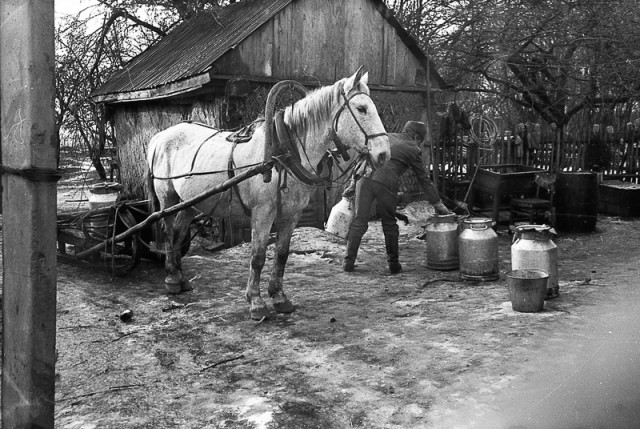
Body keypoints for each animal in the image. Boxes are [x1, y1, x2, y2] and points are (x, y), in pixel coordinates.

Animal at [147, 68, 388, 320]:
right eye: (361, 108)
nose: (384, 153)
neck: (283, 154)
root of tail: (160, 137)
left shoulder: (291, 214)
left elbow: (281, 254)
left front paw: (279, 297)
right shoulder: (263, 213)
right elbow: (258, 257)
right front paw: (256, 302)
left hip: (190, 203)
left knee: (178, 232)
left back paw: (181, 278)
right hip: (168, 199)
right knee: (168, 232)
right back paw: (171, 278)